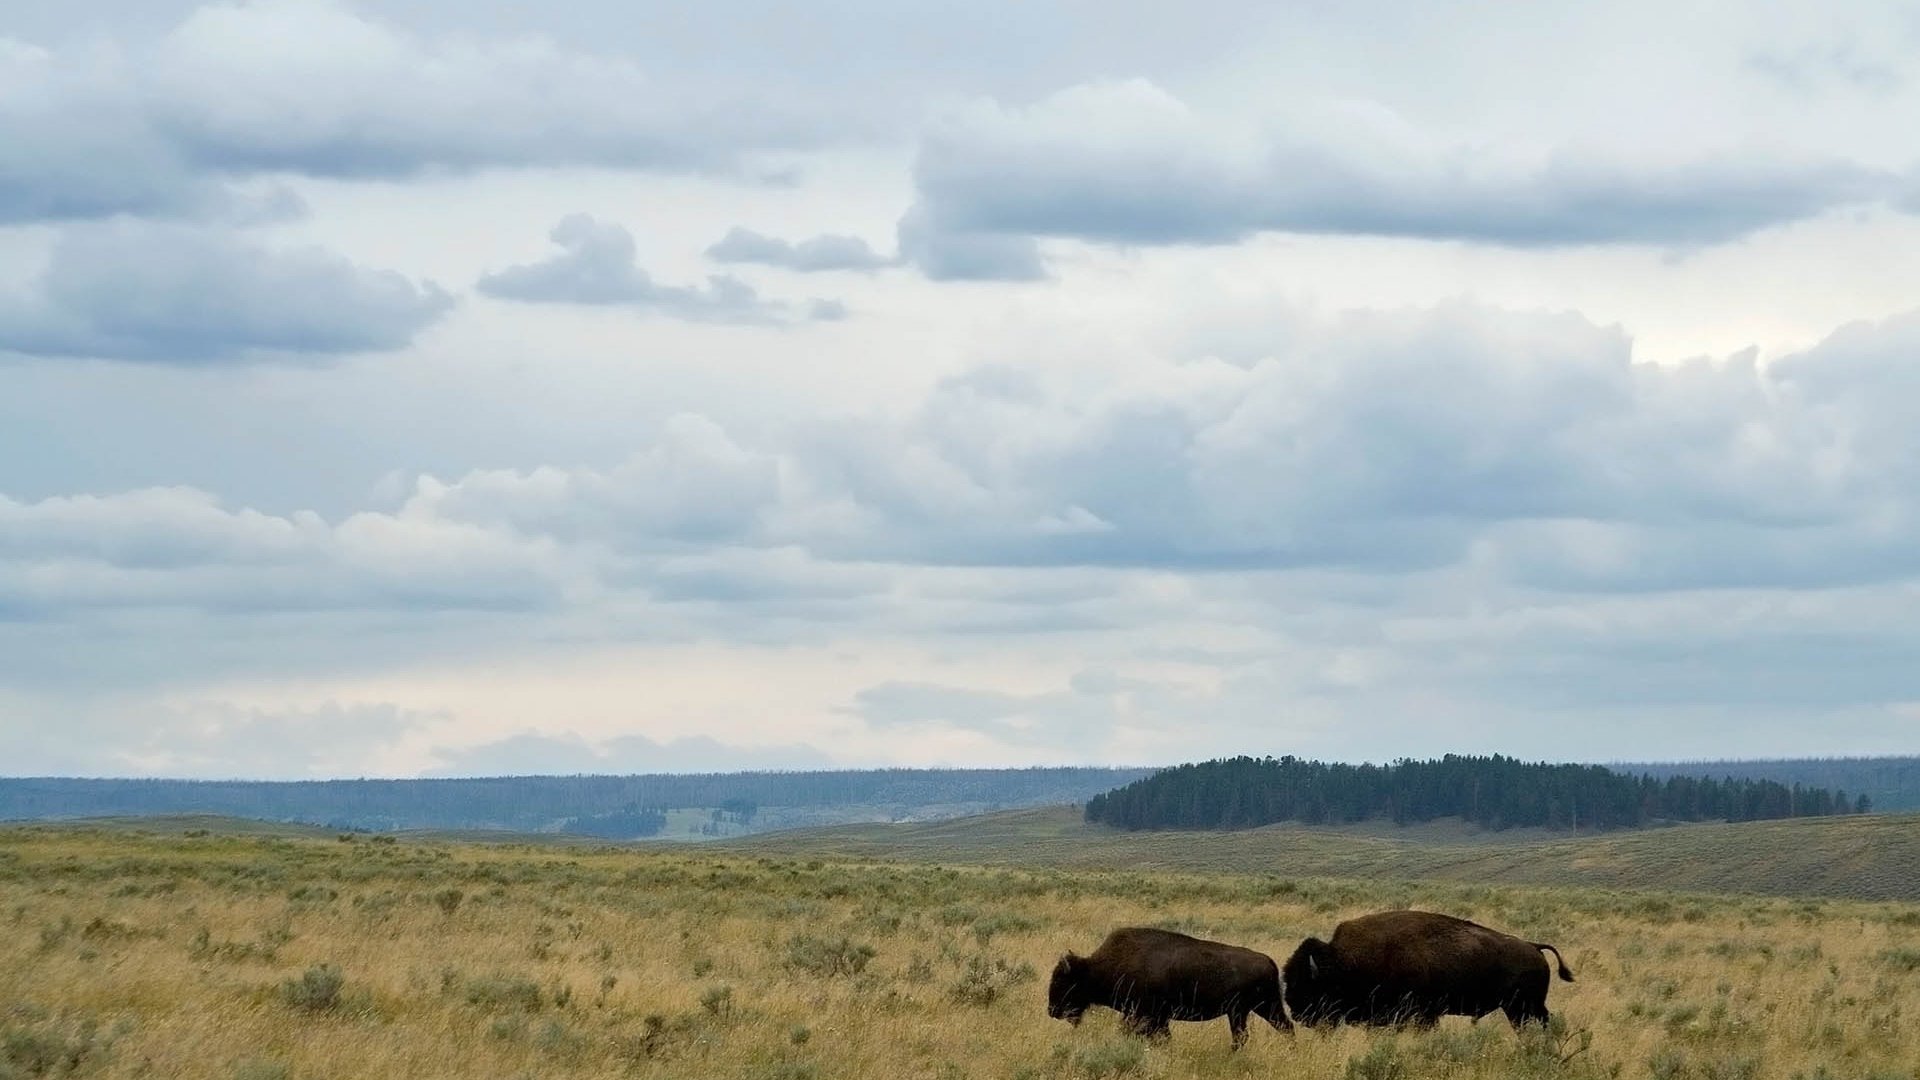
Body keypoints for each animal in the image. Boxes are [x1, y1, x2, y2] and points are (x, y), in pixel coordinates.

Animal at [1048, 926, 1293, 1048]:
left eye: (1062, 981)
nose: (1052, 1010)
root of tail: (1269, 961)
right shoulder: (1156, 1018)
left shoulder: (1147, 1015)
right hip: (1261, 1008)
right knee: (1285, 1027)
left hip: (1241, 1011)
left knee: (1245, 1036)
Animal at [1282, 909, 1574, 1029]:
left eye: (1308, 984)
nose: (1296, 1012)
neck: (1346, 962)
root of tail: (1533, 946)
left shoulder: (1420, 1013)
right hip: (1525, 1007)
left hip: (1521, 1008)